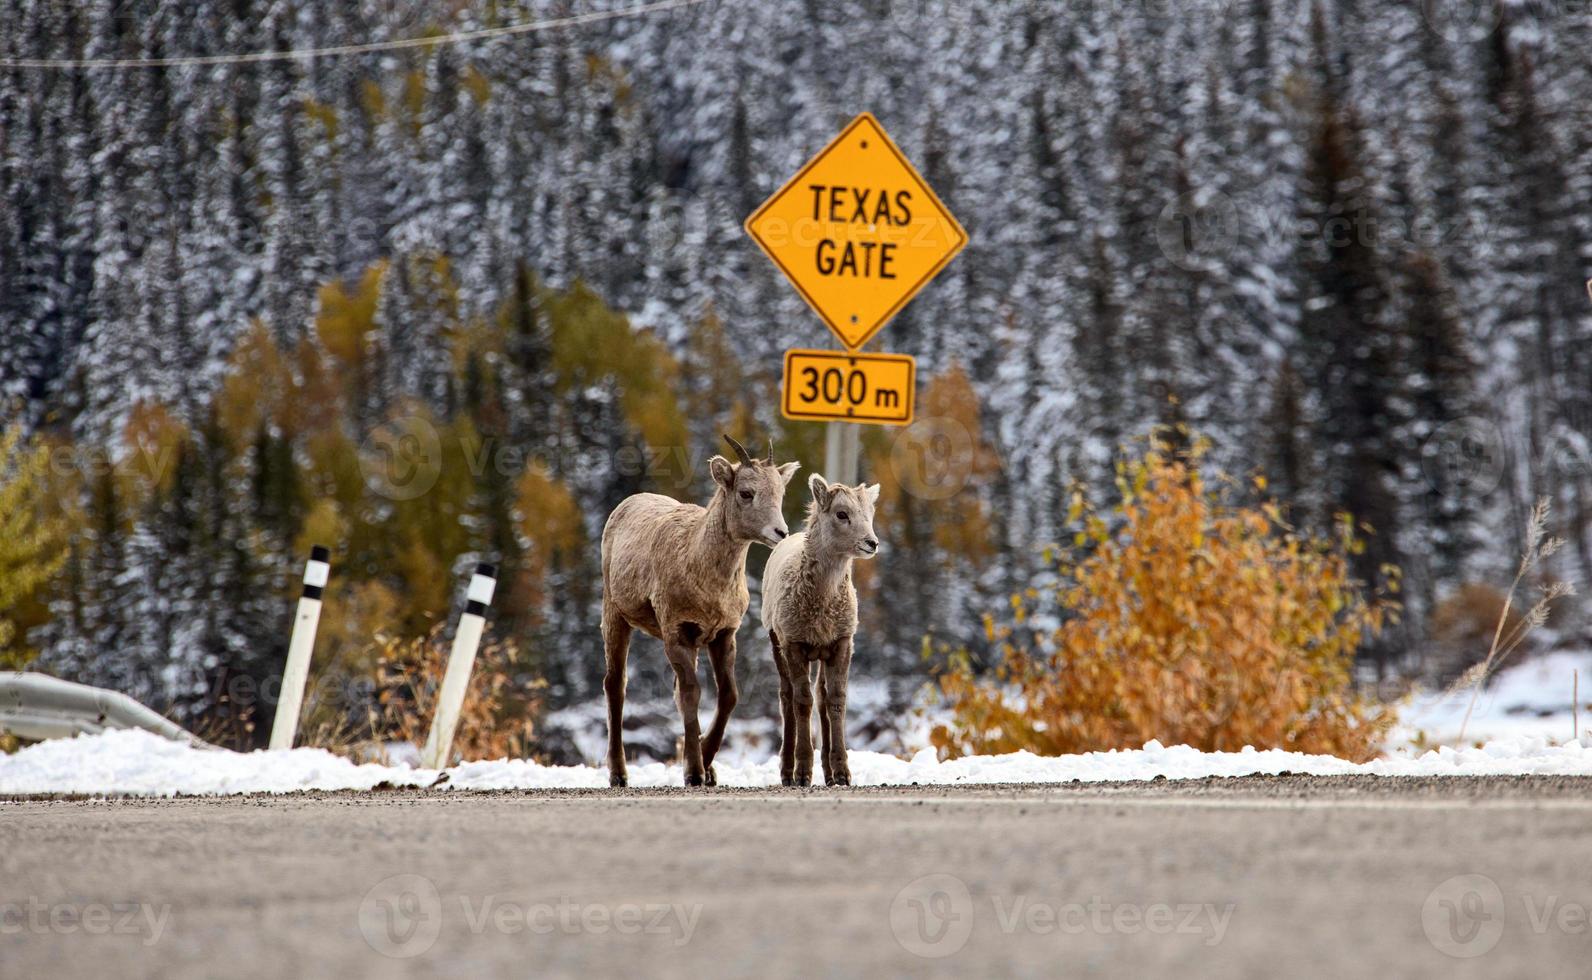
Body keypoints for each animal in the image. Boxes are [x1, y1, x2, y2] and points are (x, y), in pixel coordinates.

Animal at [598, 435, 796, 789]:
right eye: (746, 493)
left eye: (779, 492)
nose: (780, 532)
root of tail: (626, 505)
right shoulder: (677, 633)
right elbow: (691, 693)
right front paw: (693, 771)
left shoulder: (722, 635)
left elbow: (728, 695)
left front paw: (707, 764)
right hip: (615, 615)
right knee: (615, 685)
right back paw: (618, 775)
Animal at [760, 470, 885, 785]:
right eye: (842, 514)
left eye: (869, 513)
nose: (872, 543)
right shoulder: (793, 643)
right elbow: (801, 701)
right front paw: (803, 773)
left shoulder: (841, 643)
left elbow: (835, 701)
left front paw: (842, 773)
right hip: (775, 643)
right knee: (786, 697)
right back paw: (786, 772)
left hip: (820, 654)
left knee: (820, 697)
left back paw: (827, 773)